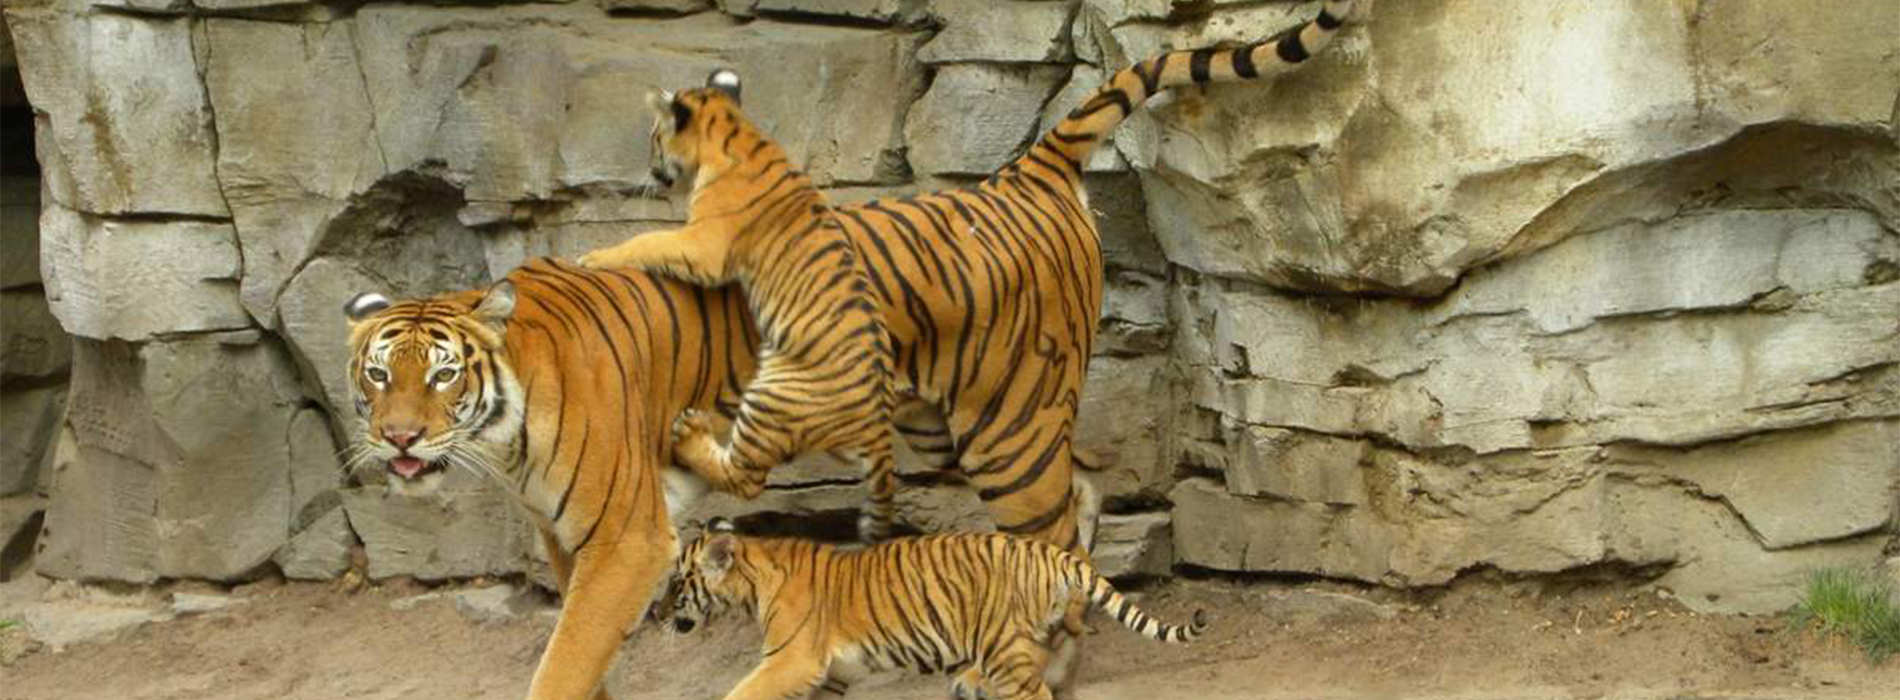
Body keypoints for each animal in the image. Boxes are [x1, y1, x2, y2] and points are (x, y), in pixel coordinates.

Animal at [575, 70, 903, 542]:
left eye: (654, 136)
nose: (651, 172)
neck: (737, 130)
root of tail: (879, 427)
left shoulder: (702, 246)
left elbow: (648, 239)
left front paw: (594, 256)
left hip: (772, 396)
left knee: (746, 478)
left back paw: (690, 432)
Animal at [662, 518, 1208, 700]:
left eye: (675, 582)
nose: (656, 615)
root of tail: (1045, 550)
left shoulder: (791, 660)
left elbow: (741, 692)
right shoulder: (826, 675)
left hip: (1002, 647)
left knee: (1036, 691)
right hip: (1016, 640)